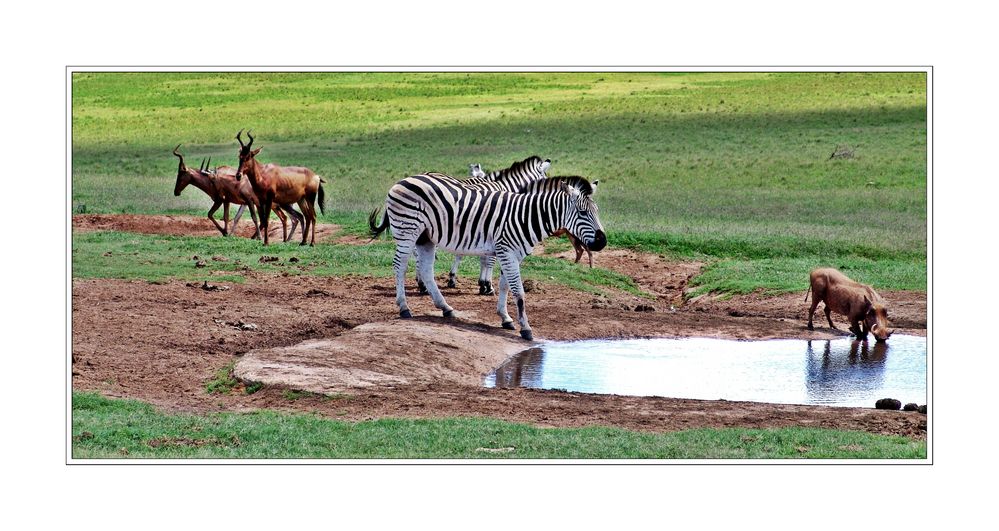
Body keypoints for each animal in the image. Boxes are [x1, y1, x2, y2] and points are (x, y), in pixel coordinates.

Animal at [174, 143, 302, 239]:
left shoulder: (223, 200)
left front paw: (225, 233)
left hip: (276, 205)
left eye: (180, 174)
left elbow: (212, 214)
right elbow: (230, 217)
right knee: (288, 218)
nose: (176, 192)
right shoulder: (232, 201)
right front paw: (227, 233)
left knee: (289, 218)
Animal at [372, 170, 608, 340]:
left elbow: (505, 286)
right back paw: (404, 307)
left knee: (426, 270)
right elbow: (519, 292)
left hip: (425, 237)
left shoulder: (511, 253)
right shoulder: (507, 251)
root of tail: (403, 180)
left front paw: (505, 318)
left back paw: (445, 308)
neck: (526, 216)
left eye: (597, 212)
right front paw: (525, 328)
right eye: (582, 213)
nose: (602, 242)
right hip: (407, 230)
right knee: (400, 265)